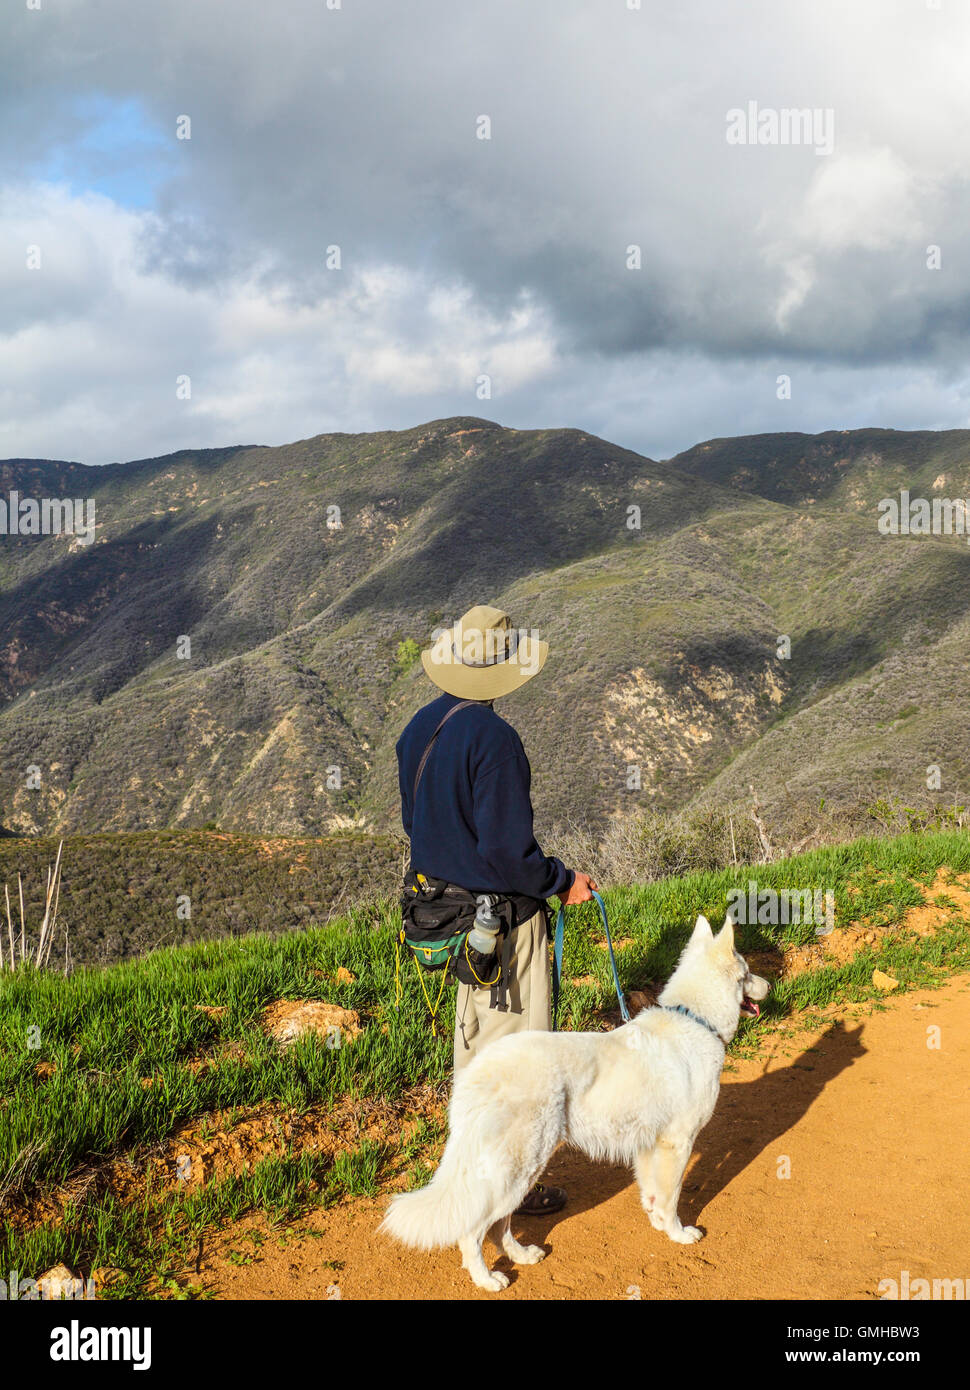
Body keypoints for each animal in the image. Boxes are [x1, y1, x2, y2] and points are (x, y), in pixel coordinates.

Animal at [380, 911, 767, 1289]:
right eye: (747, 973)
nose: (769, 986)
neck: (696, 1019)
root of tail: (480, 1072)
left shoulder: (650, 1144)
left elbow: (654, 1194)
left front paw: (658, 1223)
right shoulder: (678, 1143)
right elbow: (671, 1196)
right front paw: (679, 1234)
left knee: (498, 1227)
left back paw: (522, 1256)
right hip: (521, 1168)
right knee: (474, 1230)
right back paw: (487, 1279)